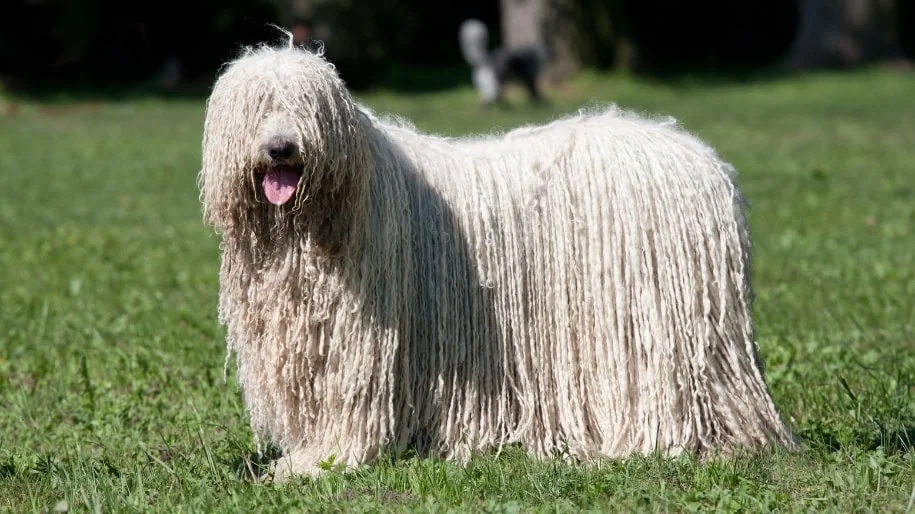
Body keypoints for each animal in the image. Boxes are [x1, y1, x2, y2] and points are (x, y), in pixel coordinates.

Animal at [199, 38, 796, 478]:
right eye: (257, 105)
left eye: (308, 106)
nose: (281, 147)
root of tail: (707, 163)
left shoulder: (360, 345)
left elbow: (351, 408)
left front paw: (315, 463)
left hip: (659, 328)